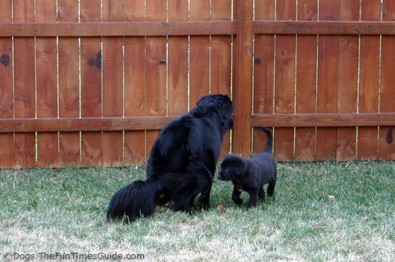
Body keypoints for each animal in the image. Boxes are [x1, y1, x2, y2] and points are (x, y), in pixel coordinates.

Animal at [106, 94, 234, 221]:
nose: (233, 122)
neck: (207, 114)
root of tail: (156, 178)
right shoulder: (210, 165)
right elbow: (206, 192)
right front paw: (205, 207)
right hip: (201, 175)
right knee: (183, 200)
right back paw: (191, 209)